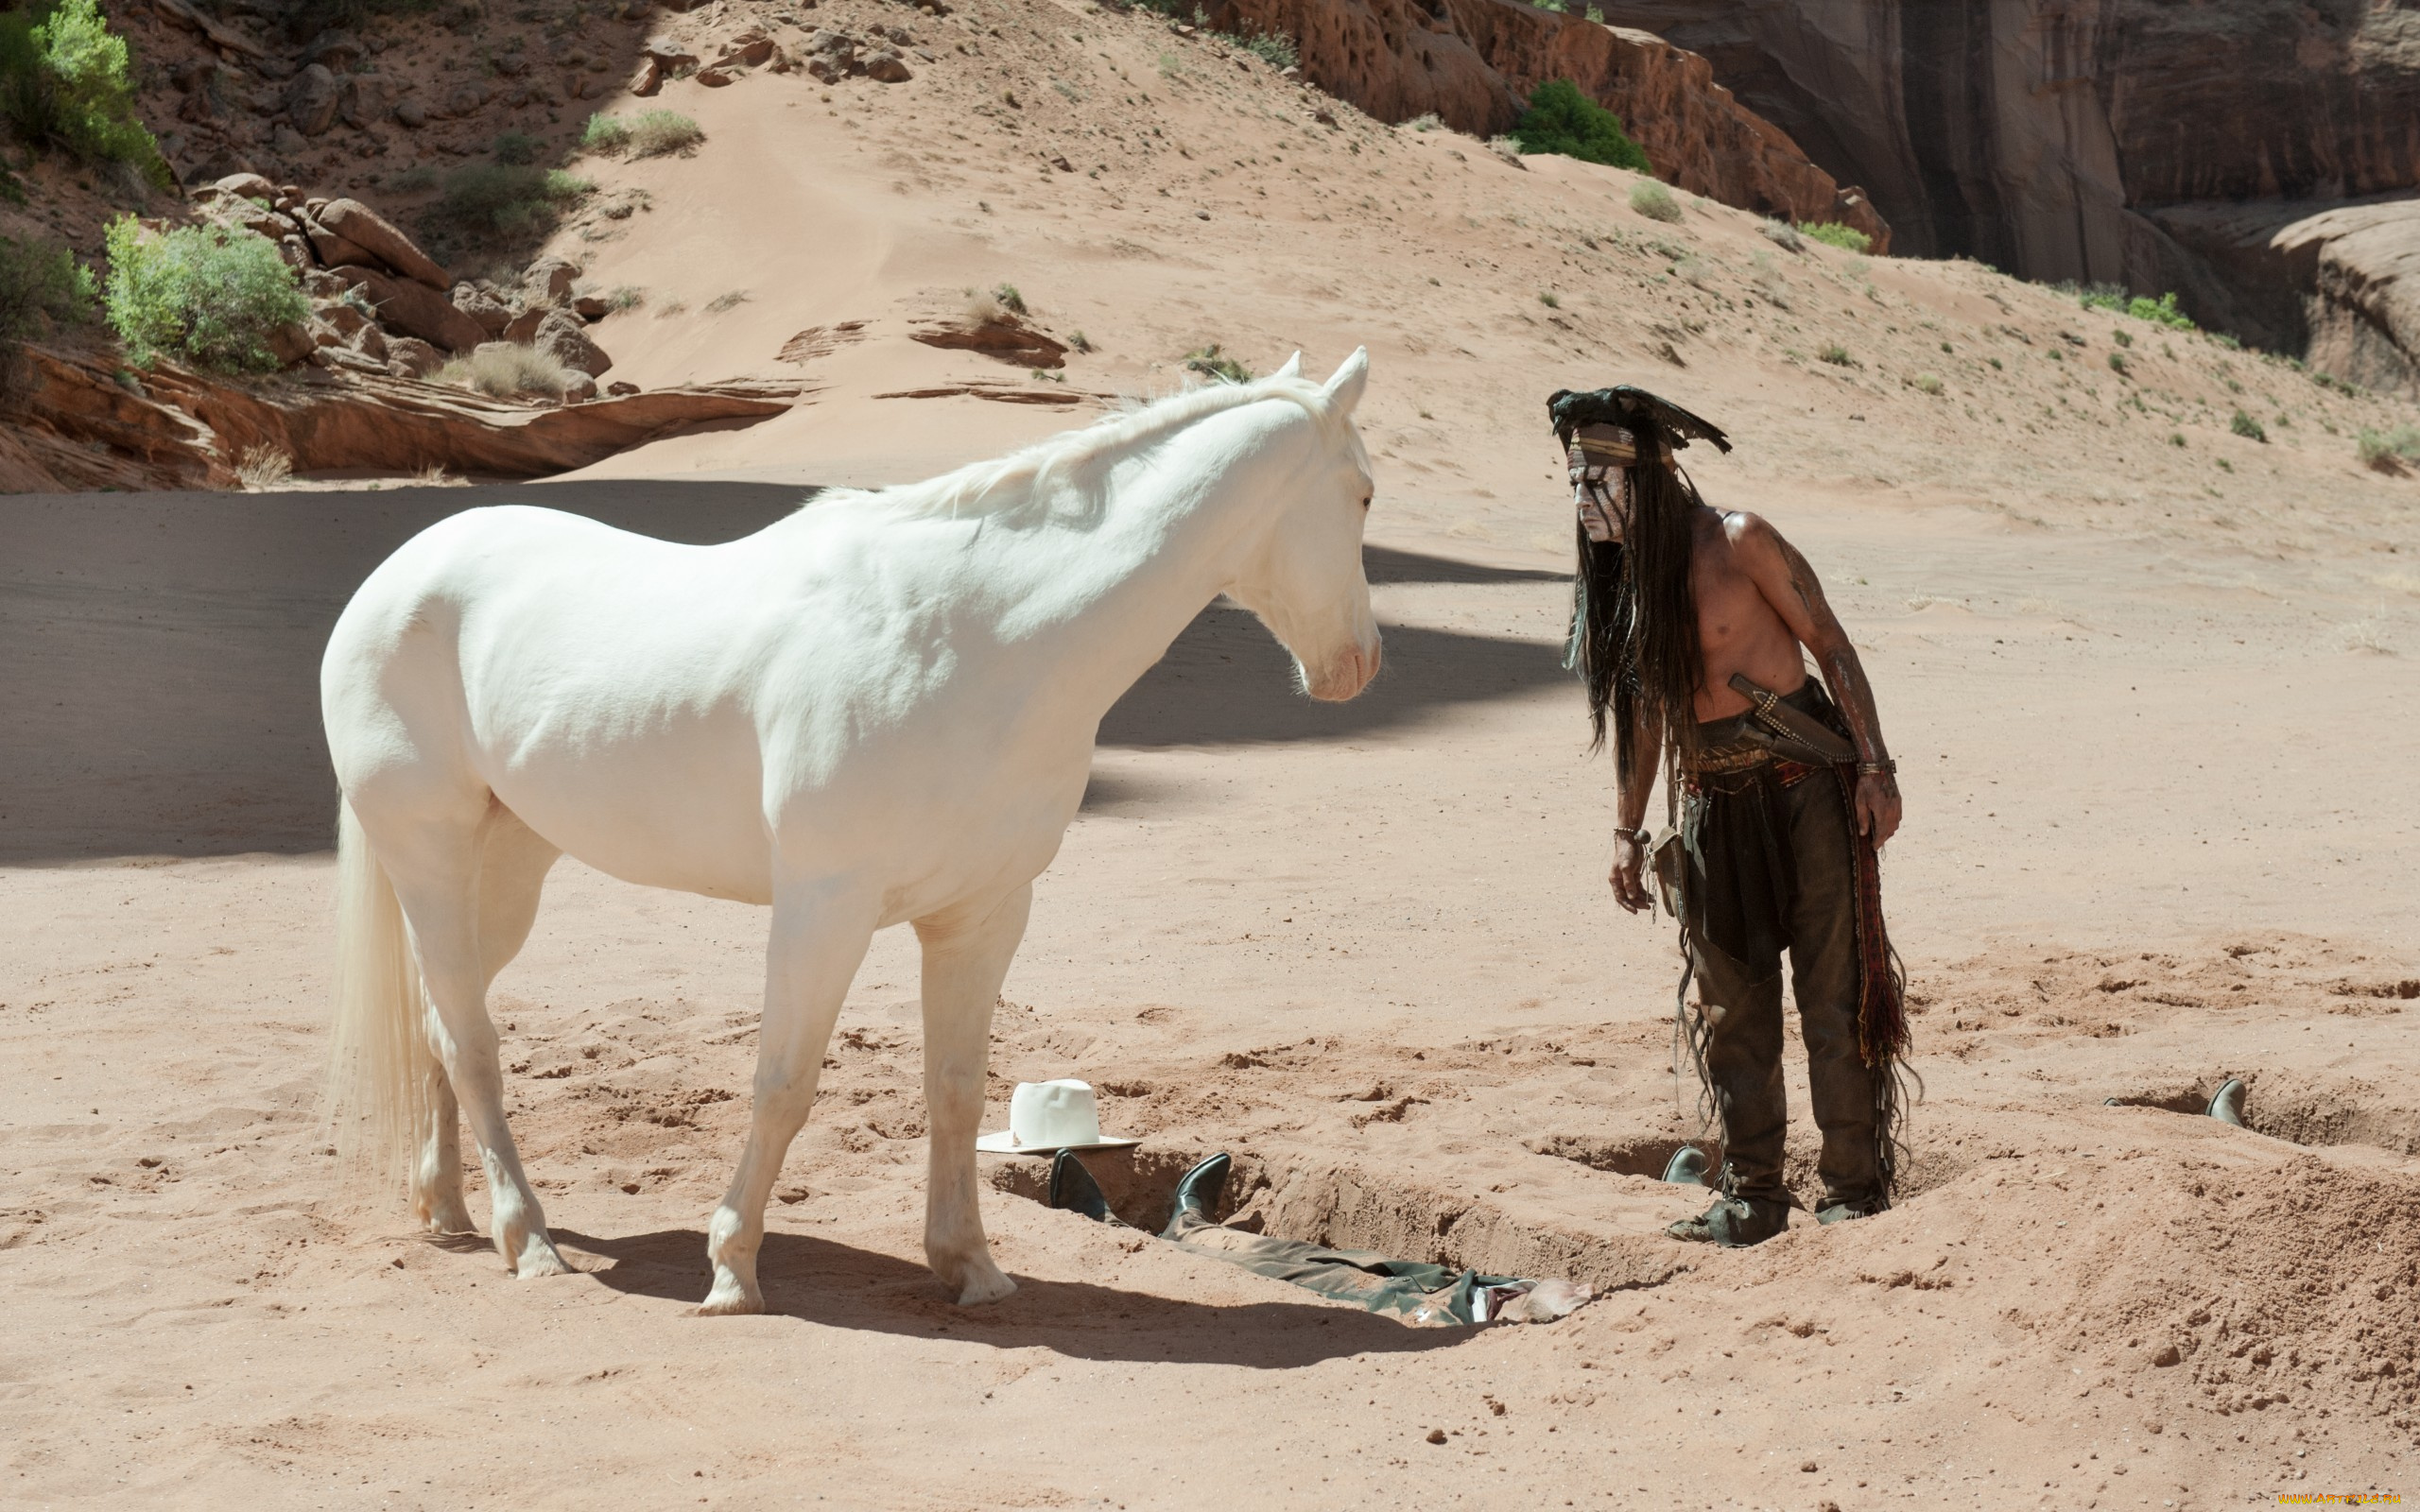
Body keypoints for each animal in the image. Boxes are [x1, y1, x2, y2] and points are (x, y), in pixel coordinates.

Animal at [321, 349, 1380, 1312]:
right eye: (1364, 494)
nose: (1361, 665)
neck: (982, 639)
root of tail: (398, 575)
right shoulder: (824, 910)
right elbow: (784, 1083)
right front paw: (732, 1269)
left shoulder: (983, 914)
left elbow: (955, 1088)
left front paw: (969, 1265)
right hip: (431, 856)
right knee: (471, 1041)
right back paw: (529, 1240)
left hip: (506, 870)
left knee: (441, 1023)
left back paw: (450, 1210)